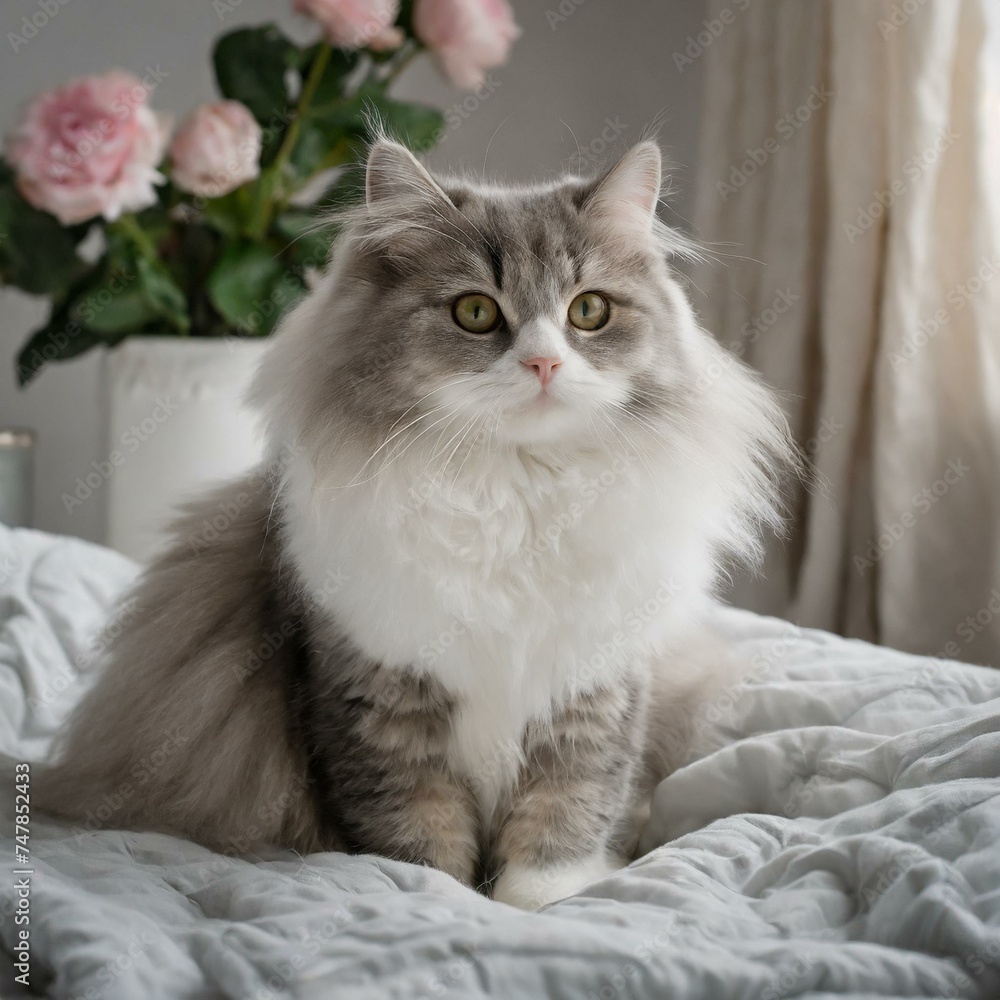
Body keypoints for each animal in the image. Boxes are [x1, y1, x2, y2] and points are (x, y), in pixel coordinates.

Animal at [35, 137, 792, 912]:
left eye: (588, 311)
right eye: (476, 312)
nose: (544, 363)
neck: (511, 495)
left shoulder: (592, 689)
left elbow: (563, 817)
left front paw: (540, 906)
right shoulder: (380, 692)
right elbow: (418, 829)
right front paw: (436, 900)